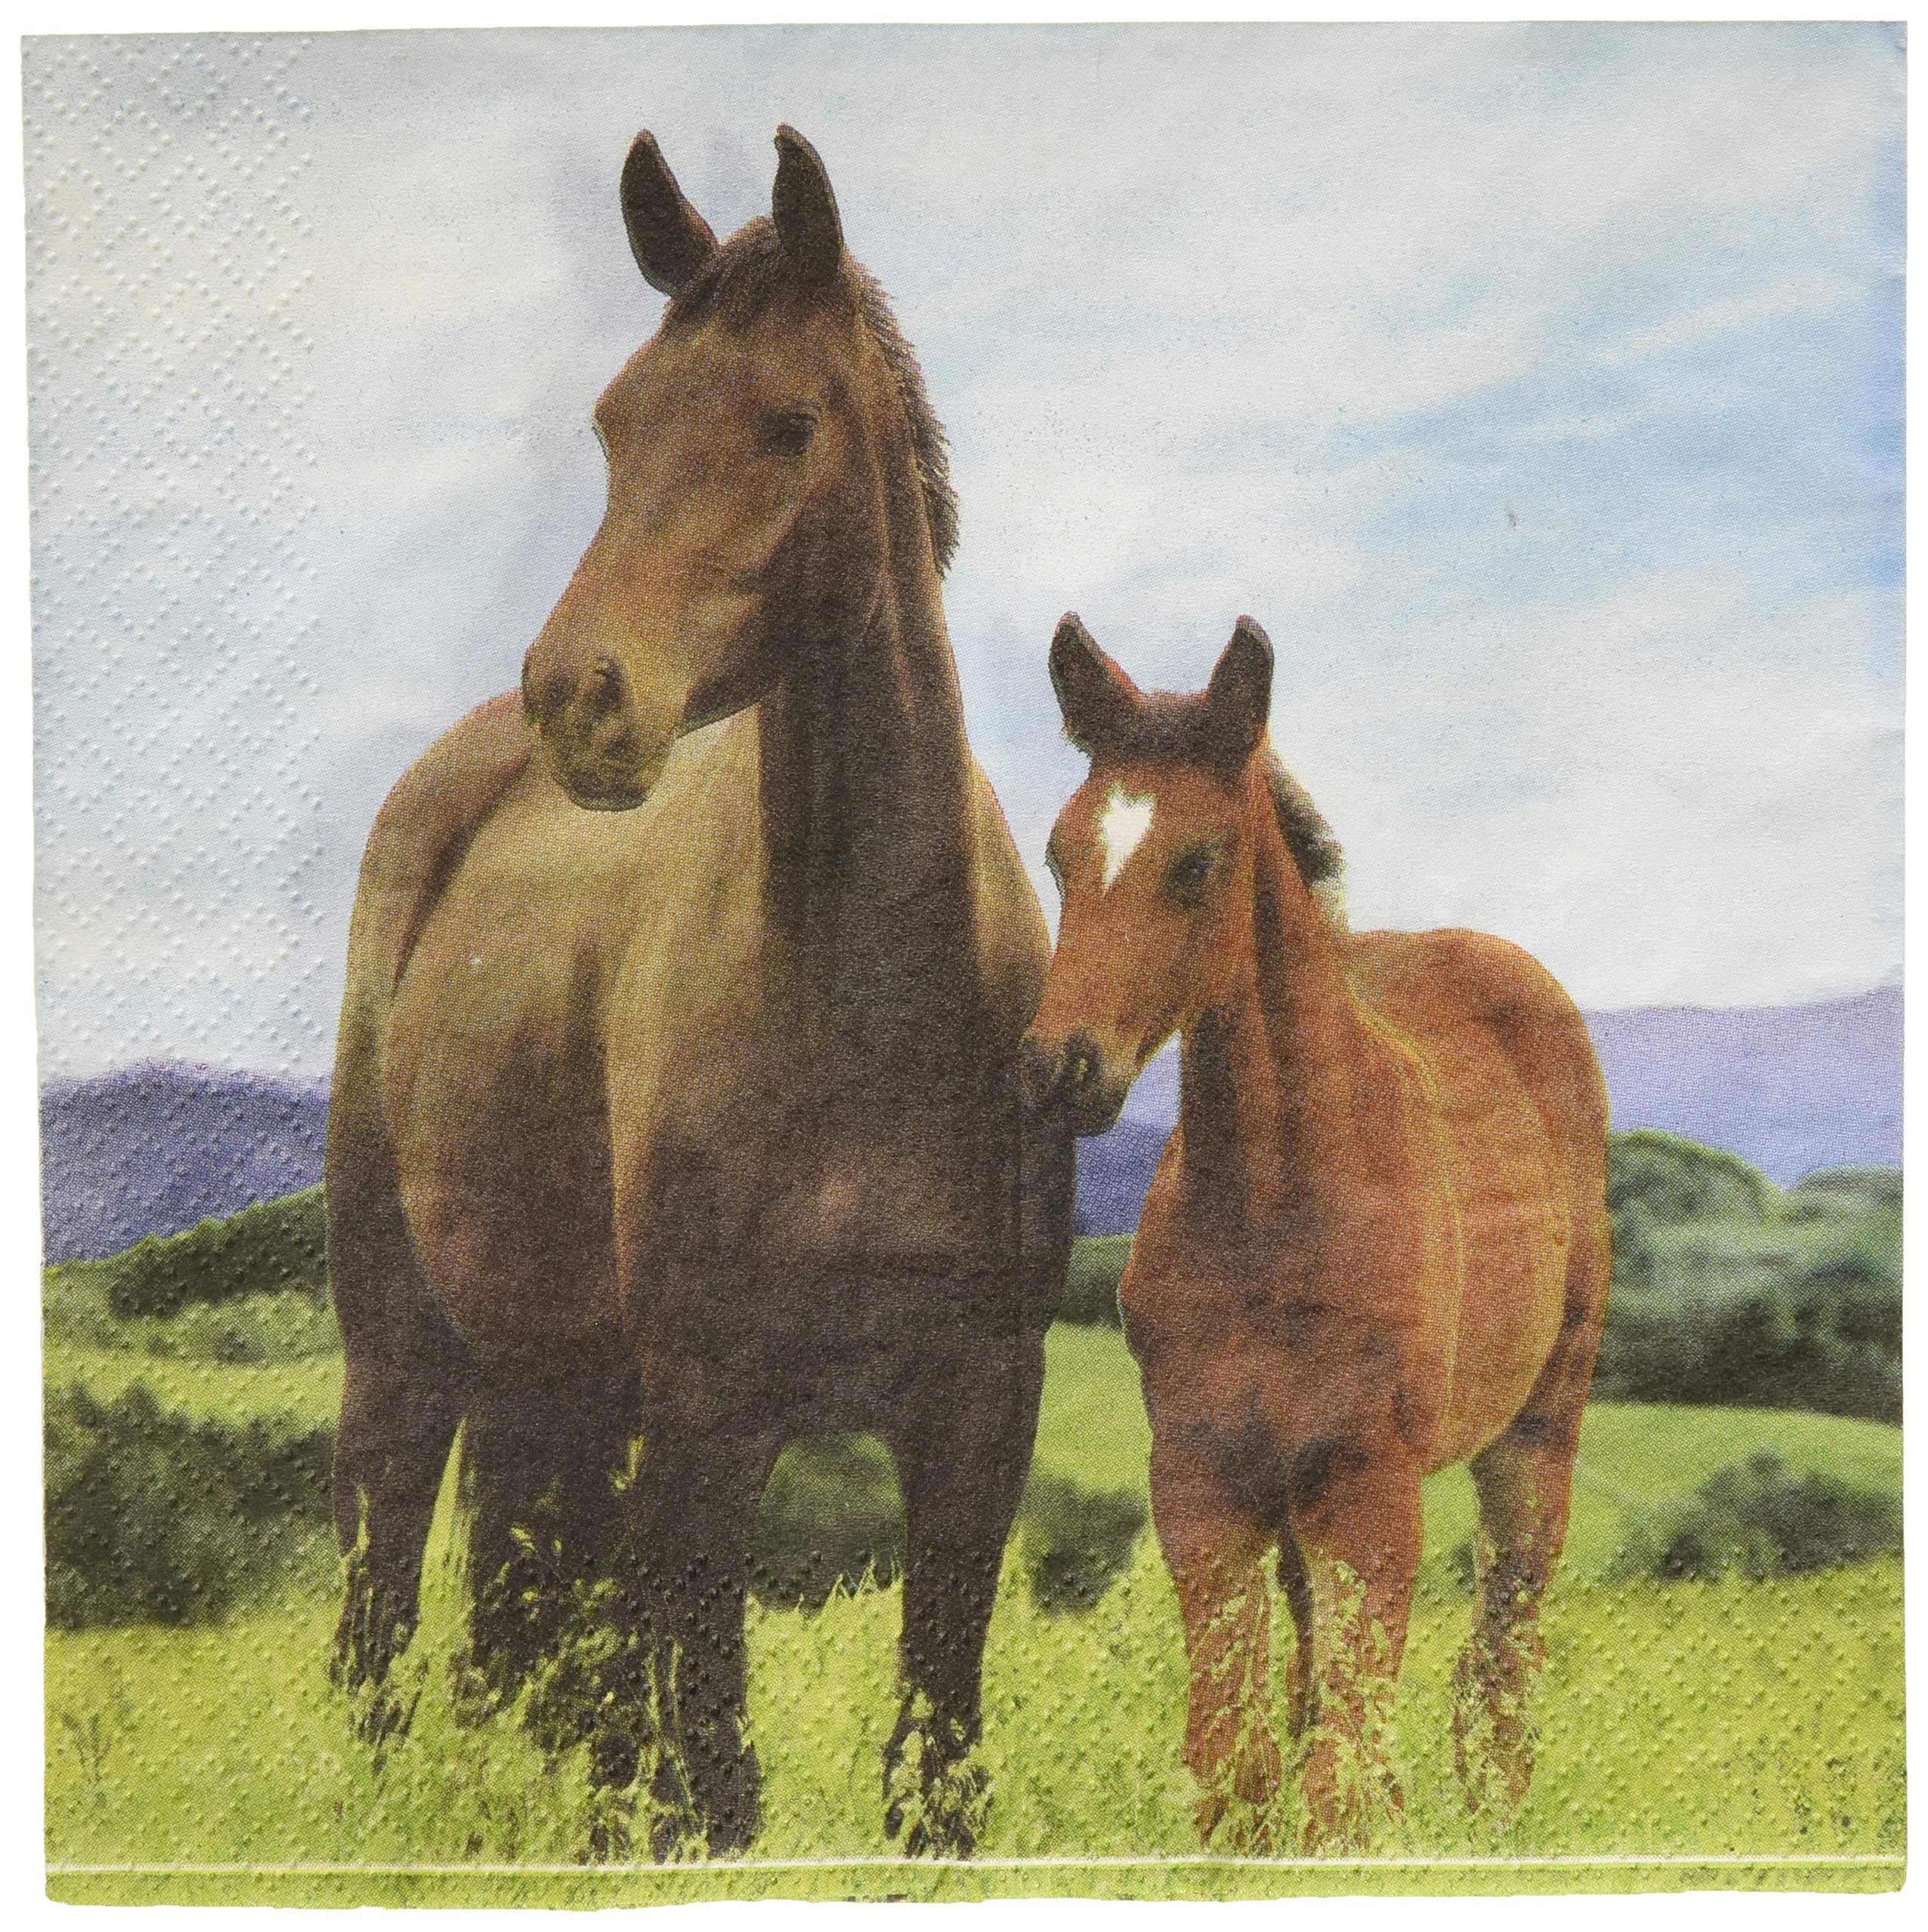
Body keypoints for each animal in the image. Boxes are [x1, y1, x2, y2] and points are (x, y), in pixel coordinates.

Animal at [327, 125, 1073, 1858]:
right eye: (614, 424)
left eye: (787, 423)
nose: (578, 699)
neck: (876, 1004)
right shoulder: (713, 1413)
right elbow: (712, 1775)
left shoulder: (979, 1411)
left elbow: (930, 1774)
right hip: (404, 1349)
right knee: (387, 1620)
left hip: (561, 1388)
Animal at [1018, 614, 1610, 1850]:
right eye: (1056, 855)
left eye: (1198, 863)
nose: (1059, 1069)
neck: (1272, 1210)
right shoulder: (1200, 1479)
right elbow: (1229, 1763)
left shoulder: (1368, 1485)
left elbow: (1342, 1765)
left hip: (1538, 1422)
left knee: (1503, 1649)